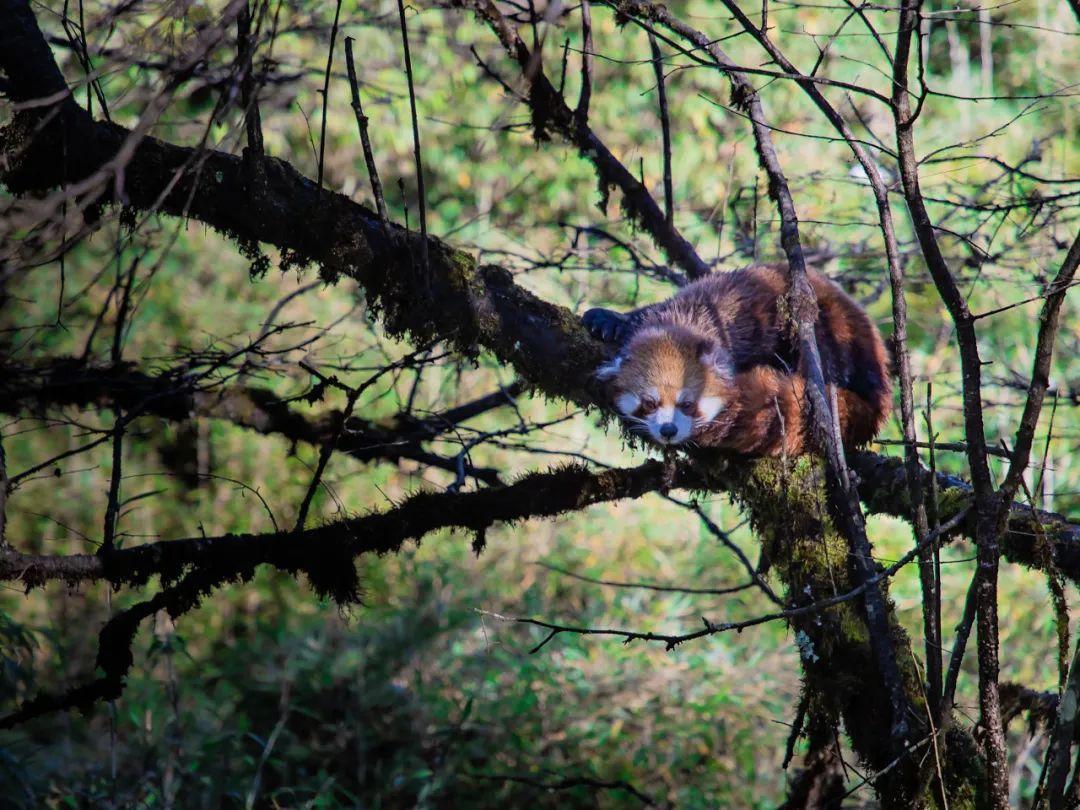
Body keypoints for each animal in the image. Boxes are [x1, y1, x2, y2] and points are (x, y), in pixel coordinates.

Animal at [587, 266, 889, 457]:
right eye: (650, 403)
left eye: (688, 404)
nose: (668, 430)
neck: (687, 319)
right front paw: (610, 319)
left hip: (835, 329)